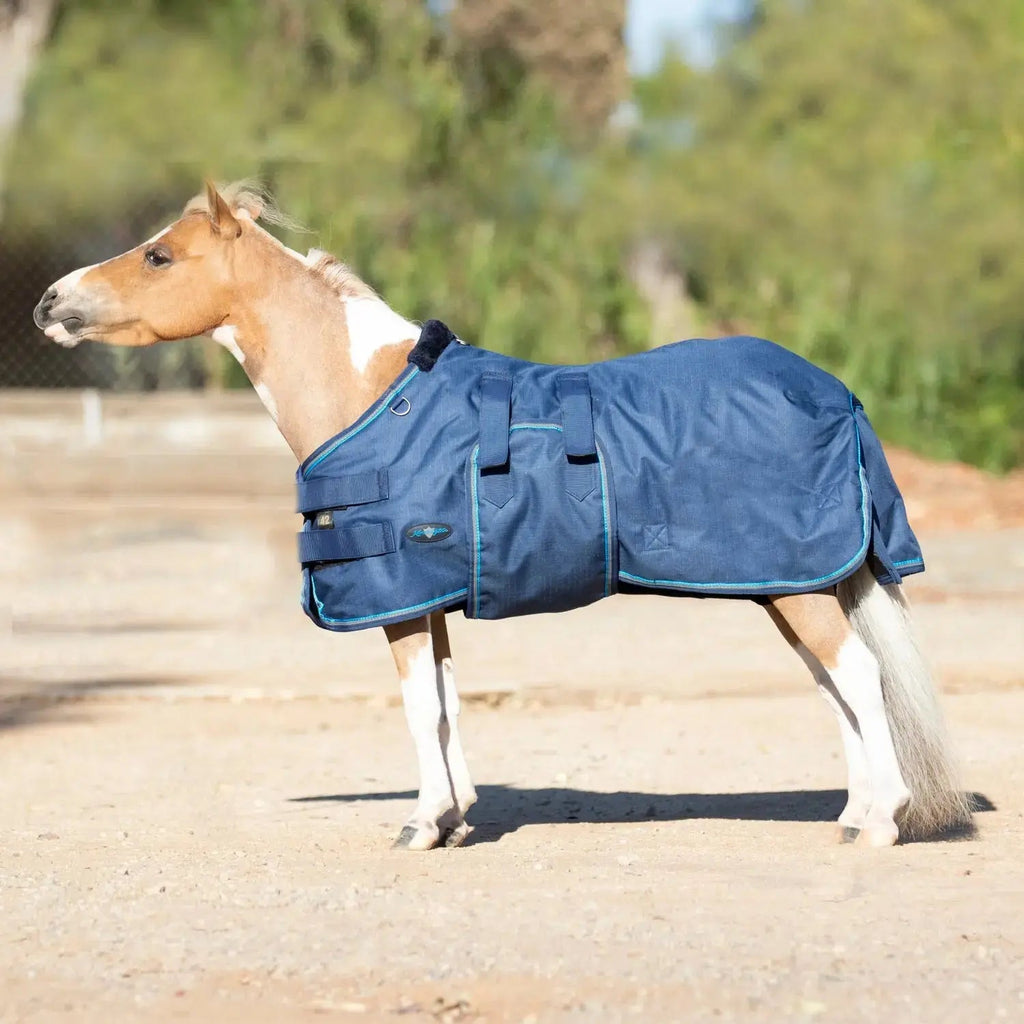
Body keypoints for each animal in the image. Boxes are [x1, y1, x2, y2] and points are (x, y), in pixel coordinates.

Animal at [33, 181, 973, 850]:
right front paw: (453, 817)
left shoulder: (398, 599)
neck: (375, 397)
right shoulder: (427, 601)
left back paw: (882, 821)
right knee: (835, 686)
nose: (49, 303)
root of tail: (833, 389)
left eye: (159, 256)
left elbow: (420, 707)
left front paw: (420, 825)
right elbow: (447, 702)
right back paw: (851, 814)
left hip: (799, 587)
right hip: (789, 584)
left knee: (859, 678)